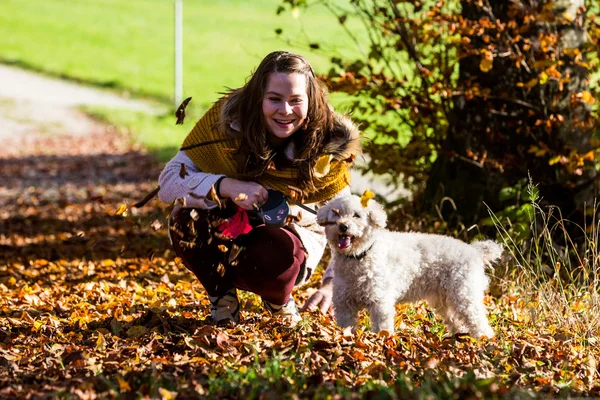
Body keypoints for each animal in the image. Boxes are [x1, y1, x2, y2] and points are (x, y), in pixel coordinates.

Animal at [316, 194, 504, 338]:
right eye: (335, 213)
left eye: (356, 215)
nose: (343, 226)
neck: (359, 256)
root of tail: (475, 251)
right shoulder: (344, 305)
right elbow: (346, 327)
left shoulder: (380, 303)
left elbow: (382, 328)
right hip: (443, 300)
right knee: (457, 321)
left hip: (464, 295)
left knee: (478, 322)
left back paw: (484, 341)